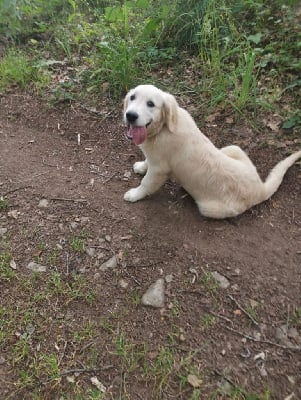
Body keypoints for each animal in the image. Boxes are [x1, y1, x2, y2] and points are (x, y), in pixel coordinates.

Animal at [122, 83, 300, 219]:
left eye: (151, 104)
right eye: (132, 97)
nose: (130, 115)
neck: (164, 128)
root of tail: (260, 188)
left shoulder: (159, 169)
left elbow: (146, 183)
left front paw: (134, 195)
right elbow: (147, 161)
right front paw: (141, 166)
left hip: (209, 208)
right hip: (233, 148)